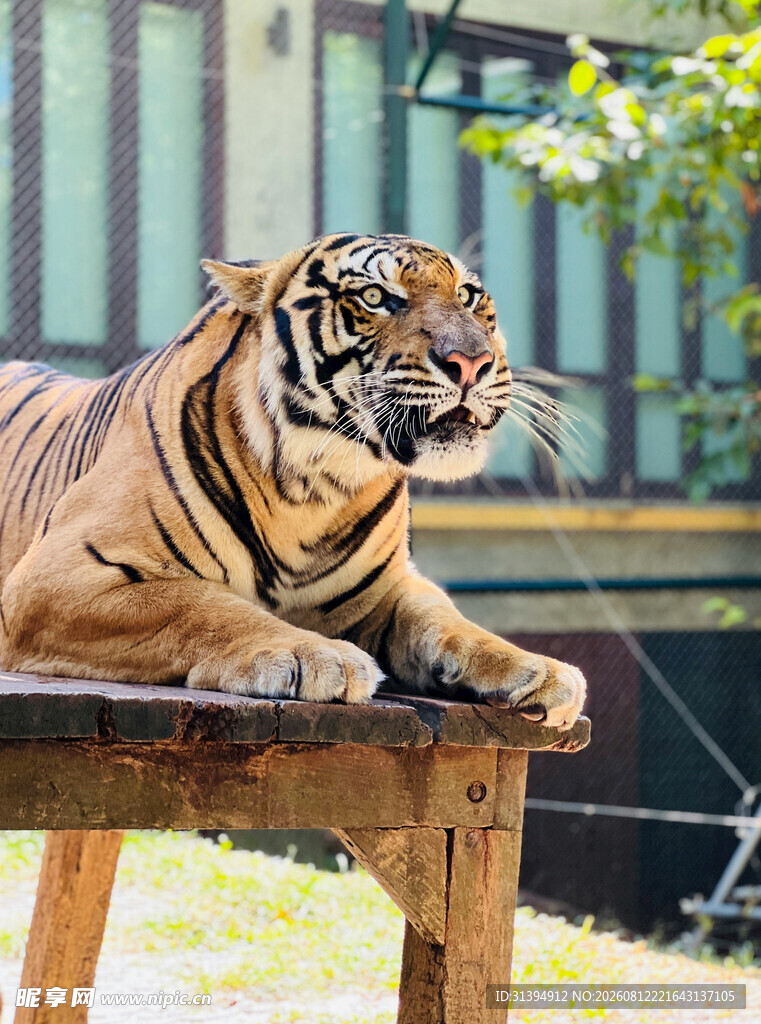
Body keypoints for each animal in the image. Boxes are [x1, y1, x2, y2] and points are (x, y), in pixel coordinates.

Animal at [0, 233, 585, 728]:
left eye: (467, 295)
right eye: (375, 296)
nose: (472, 361)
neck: (315, 493)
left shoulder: (387, 590)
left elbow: (444, 618)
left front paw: (538, 669)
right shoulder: (56, 575)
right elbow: (200, 604)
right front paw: (317, 656)